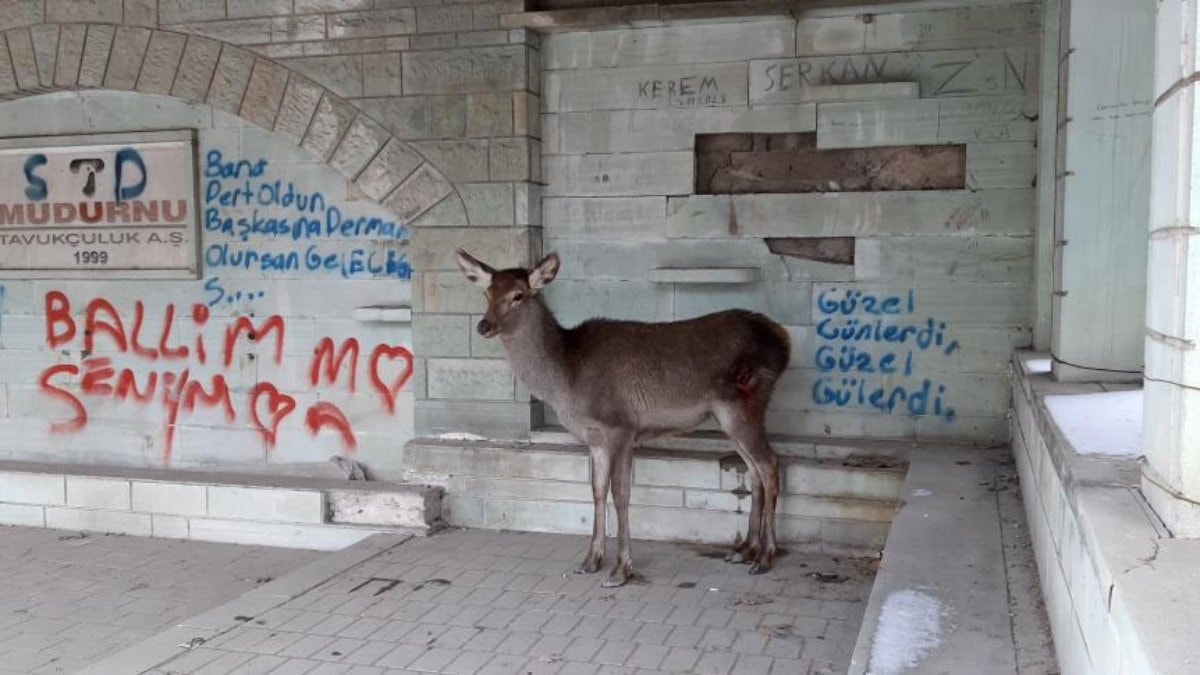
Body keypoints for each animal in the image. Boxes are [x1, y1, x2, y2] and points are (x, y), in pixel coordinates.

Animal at [456, 249, 791, 587]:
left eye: (518, 295)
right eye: (486, 293)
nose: (484, 325)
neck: (566, 378)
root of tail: (784, 341)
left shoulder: (620, 426)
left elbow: (621, 494)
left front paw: (621, 569)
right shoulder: (594, 436)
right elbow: (597, 490)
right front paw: (591, 560)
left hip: (744, 404)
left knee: (769, 465)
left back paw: (765, 556)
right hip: (728, 418)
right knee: (753, 470)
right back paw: (744, 549)